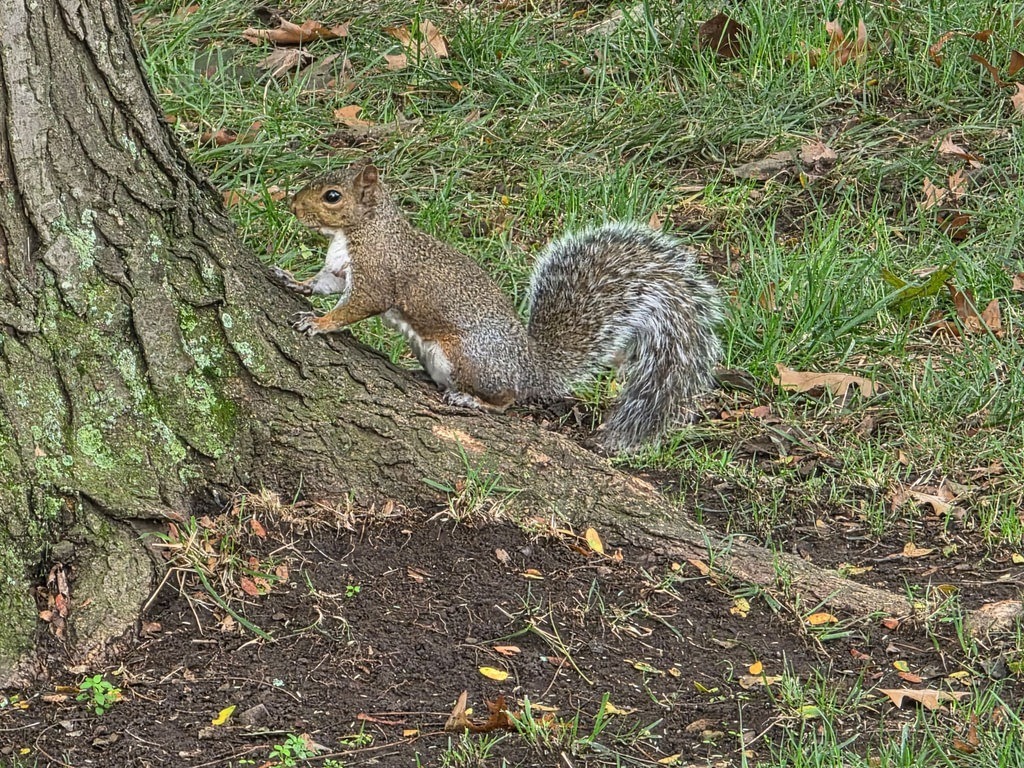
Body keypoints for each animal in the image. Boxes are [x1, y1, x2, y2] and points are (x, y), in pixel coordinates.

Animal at [271, 161, 723, 452]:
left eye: (332, 196)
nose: (291, 206)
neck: (359, 231)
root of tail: (532, 368)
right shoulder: (339, 271)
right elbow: (322, 284)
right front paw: (292, 280)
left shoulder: (379, 276)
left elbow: (357, 306)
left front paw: (321, 323)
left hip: (468, 356)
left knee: (507, 399)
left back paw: (472, 401)